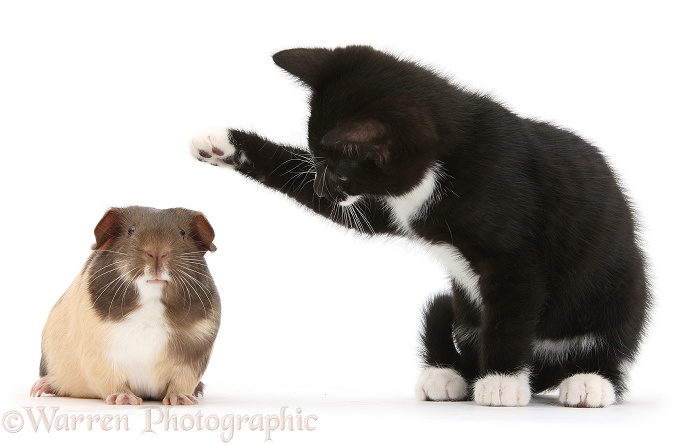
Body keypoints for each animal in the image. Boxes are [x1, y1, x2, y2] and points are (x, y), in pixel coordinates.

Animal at [191, 45, 648, 406]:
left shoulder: (514, 257)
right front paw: (221, 143)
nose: (322, 189)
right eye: (317, 163)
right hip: (468, 313)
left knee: (609, 345)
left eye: (337, 170)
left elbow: (512, 313)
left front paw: (501, 383)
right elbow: (309, 184)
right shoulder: (389, 206)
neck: (446, 158)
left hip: (621, 289)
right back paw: (452, 375)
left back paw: (588, 382)